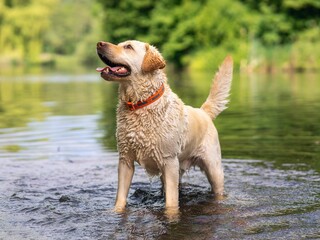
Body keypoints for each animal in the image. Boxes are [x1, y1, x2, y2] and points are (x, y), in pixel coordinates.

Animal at [95, 40, 232, 212]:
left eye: (128, 47)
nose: (99, 43)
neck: (140, 104)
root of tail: (203, 112)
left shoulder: (169, 162)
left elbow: (171, 202)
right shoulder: (125, 161)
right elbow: (120, 197)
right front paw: (116, 211)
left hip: (213, 169)